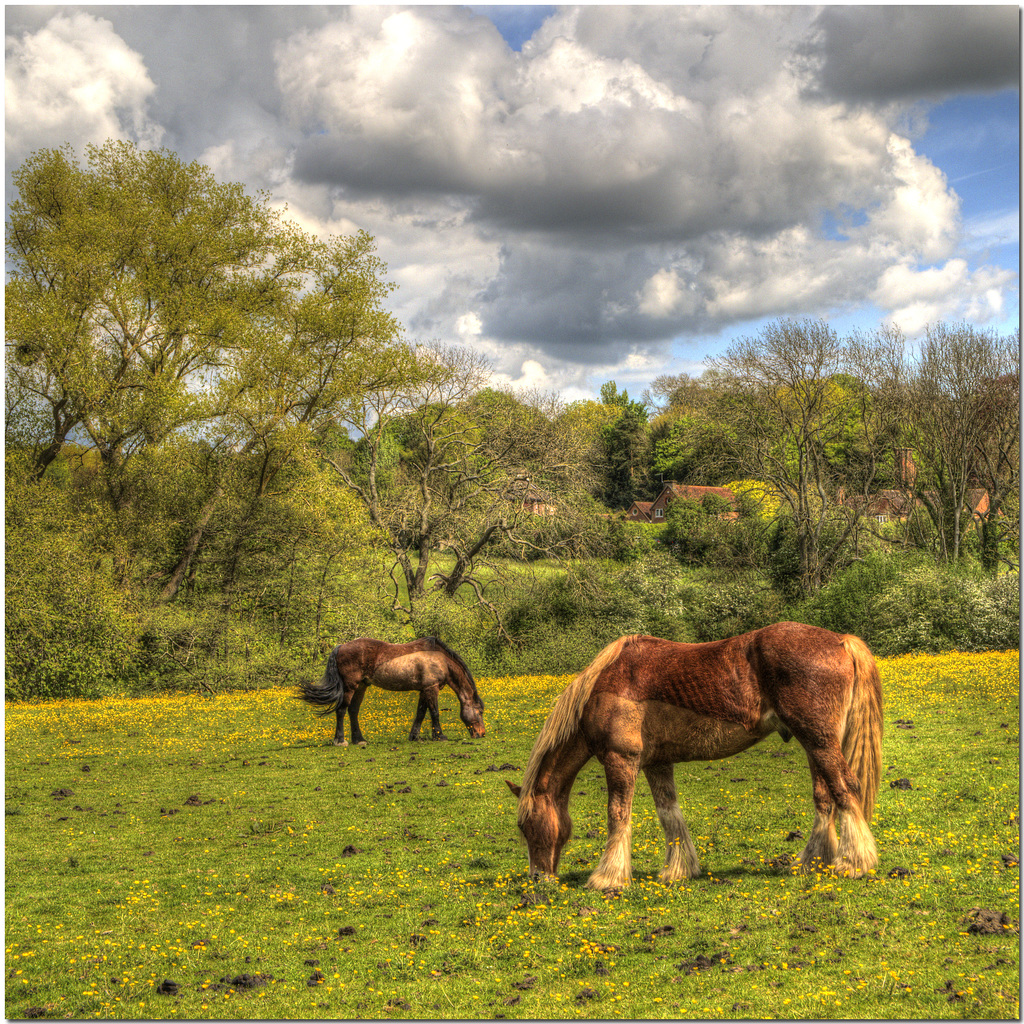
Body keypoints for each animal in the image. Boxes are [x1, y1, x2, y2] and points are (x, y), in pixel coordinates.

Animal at [299, 634, 485, 749]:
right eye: (480, 711)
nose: (482, 734)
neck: (440, 659)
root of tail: (341, 647)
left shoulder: (424, 690)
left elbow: (420, 713)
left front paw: (414, 737)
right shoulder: (431, 689)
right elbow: (434, 713)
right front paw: (440, 736)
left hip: (361, 687)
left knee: (353, 711)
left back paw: (359, 740)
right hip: (350, 687)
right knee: (341, 711)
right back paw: (340, 740)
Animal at [503, 618, 880, 892]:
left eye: (526, 825)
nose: (538, 878)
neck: (605, 684)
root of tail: (841, 641)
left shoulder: (620, 759)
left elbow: (618, 815)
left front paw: (607, 878)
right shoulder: (656, 763)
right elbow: (669, 814)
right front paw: (679, 869)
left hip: (819, 741)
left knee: (845, 788)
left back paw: (853, 863)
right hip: (815, 743)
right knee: (825, 797)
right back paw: (812, 862)